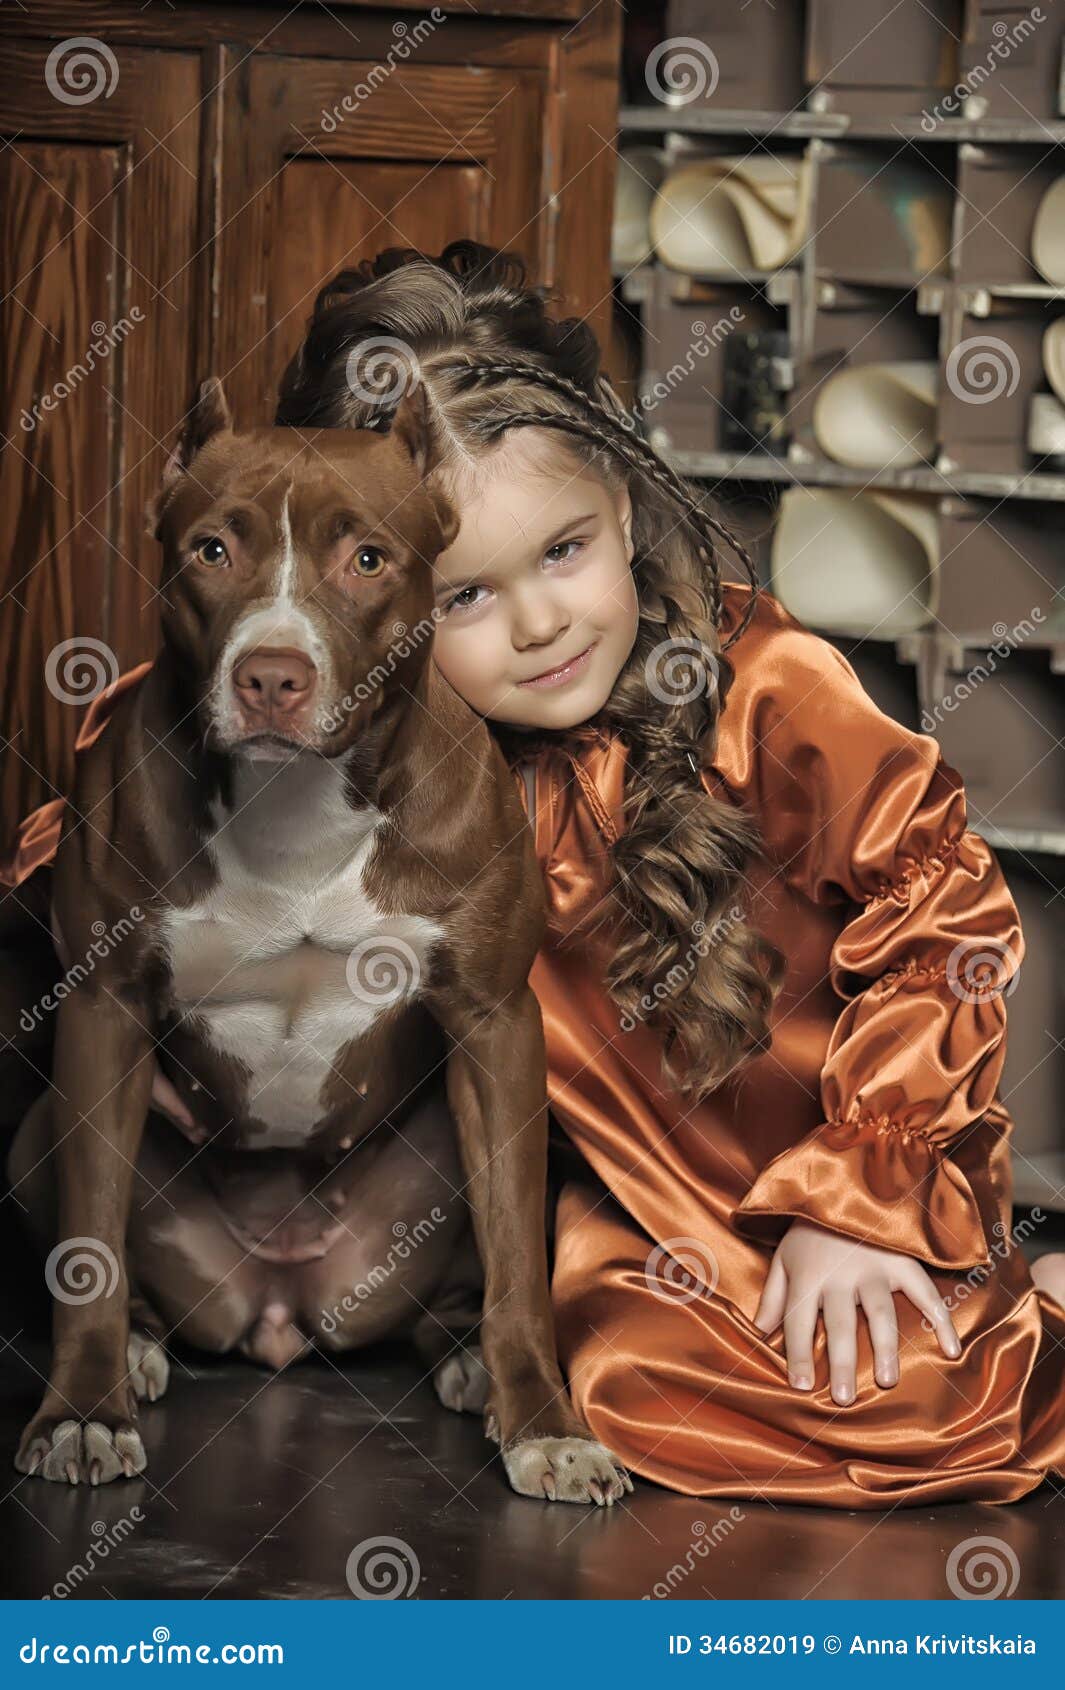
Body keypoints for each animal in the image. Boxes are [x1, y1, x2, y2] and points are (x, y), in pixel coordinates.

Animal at [10, 373, 635, 1507]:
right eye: (211, 549)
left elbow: (521, 1267)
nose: (271, 676)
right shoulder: (103, 1008)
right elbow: (89, 1250)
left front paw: (545, 1425)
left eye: (369, 559)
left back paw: (468, 1361)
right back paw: (137, 1349)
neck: (299, 805)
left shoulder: (495, 1022)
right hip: (42, 1125)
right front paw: (81, 1410)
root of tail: (281, 1310)